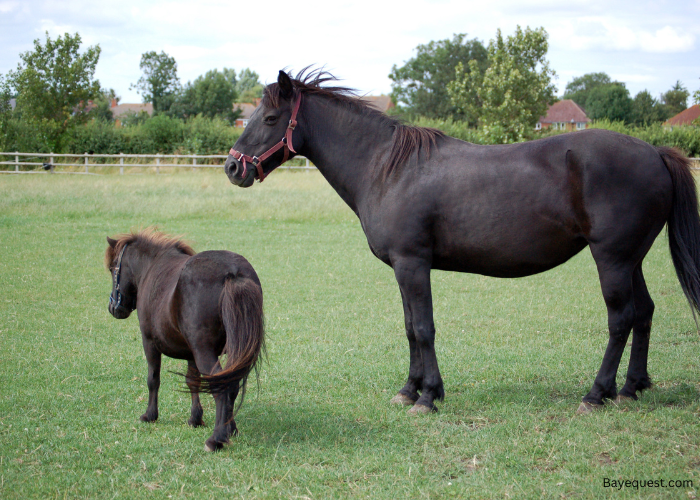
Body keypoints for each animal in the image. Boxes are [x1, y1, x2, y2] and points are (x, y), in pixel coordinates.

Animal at [105, 230, 264, 450]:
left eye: (113, 268)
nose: (113, 308)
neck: (151, 266)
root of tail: (232, 273)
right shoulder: (191, 352)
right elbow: (192, 382)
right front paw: (195, 418)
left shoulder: (149, 342)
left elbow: (153, 379)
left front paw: (150, 415)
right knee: (231, 383)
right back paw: (229, 429)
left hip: (204, 352)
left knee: (221, 388)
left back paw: (216, 439)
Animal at [224, 69, 700, 414]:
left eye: (270, 119)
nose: (233, 168)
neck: (387, 168)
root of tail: (655, 152)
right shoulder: (402, 268)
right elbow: (409, 328)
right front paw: (408, 390)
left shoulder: (413, 263)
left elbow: (424, 328)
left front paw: (428, 396)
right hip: (631, 259)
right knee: (644, 313)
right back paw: (631, 388)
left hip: (612, 259)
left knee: (621, 319)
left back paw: (596, 394)